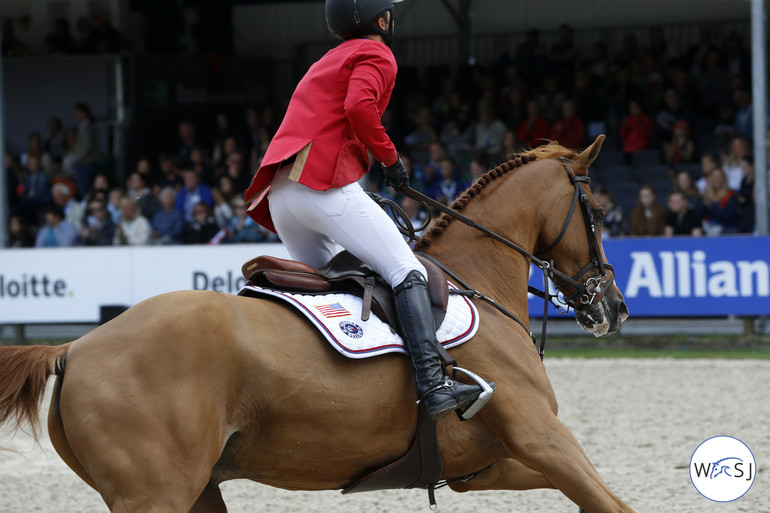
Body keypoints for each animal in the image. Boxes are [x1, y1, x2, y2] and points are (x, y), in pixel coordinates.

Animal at [0, 134, 632, 510]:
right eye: (600, 213)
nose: (615, 308)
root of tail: (76, 348)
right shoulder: (541, 437)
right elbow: (612, 502)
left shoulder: (486, 463)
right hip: (157, 494)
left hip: (195, 489)